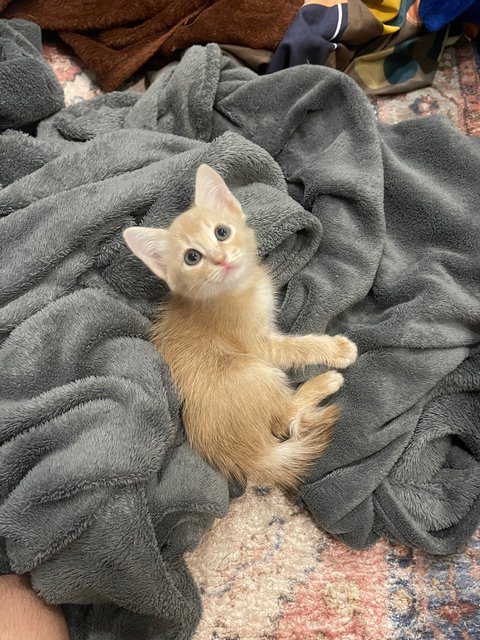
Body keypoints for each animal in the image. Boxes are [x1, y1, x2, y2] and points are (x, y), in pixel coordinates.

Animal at [124, 165, 356, 490]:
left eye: (222, 232)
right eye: (192, 257)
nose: (221, 259)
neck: (238, 289)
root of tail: (248, 456)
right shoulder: (261, 346)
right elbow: (297, 347)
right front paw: (336, 349)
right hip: (255, 370)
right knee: (285, 417)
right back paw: (325, 382)